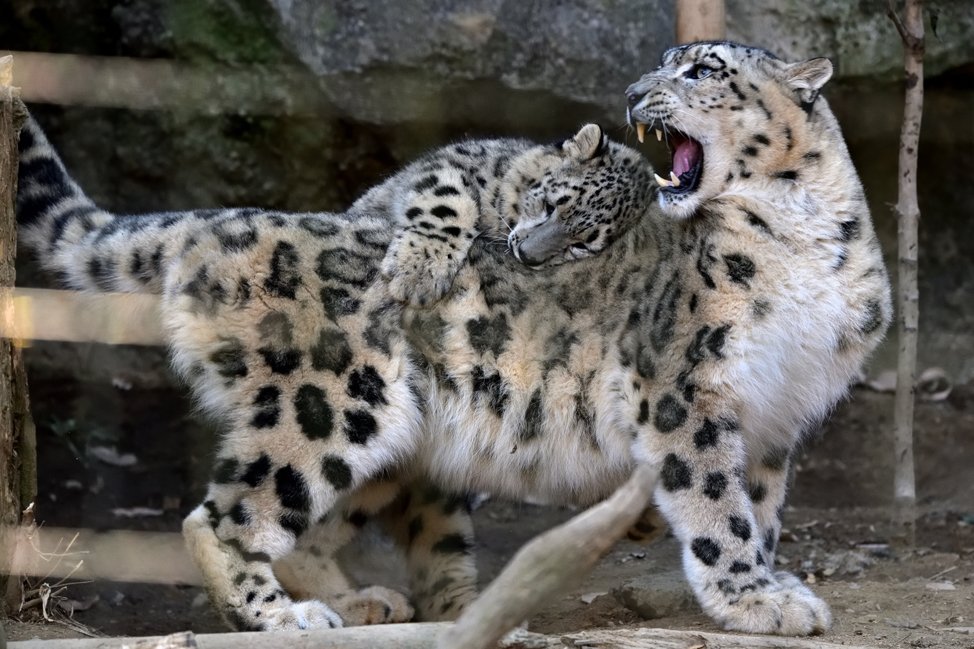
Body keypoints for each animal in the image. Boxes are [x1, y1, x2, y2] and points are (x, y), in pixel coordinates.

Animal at [17, 40, 900, 636]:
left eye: (705, 69)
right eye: (665, 64)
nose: (633, 90)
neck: (804, 240)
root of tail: (221, 222)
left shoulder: (779, 413)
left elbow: (759, 505)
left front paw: (755, 576)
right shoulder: (687, 389)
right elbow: (716, 503)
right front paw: (759, 598)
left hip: (392, 438)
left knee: (316, 520)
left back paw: (356, 600)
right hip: (331, 399)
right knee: (225, 512)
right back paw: (284, 615)